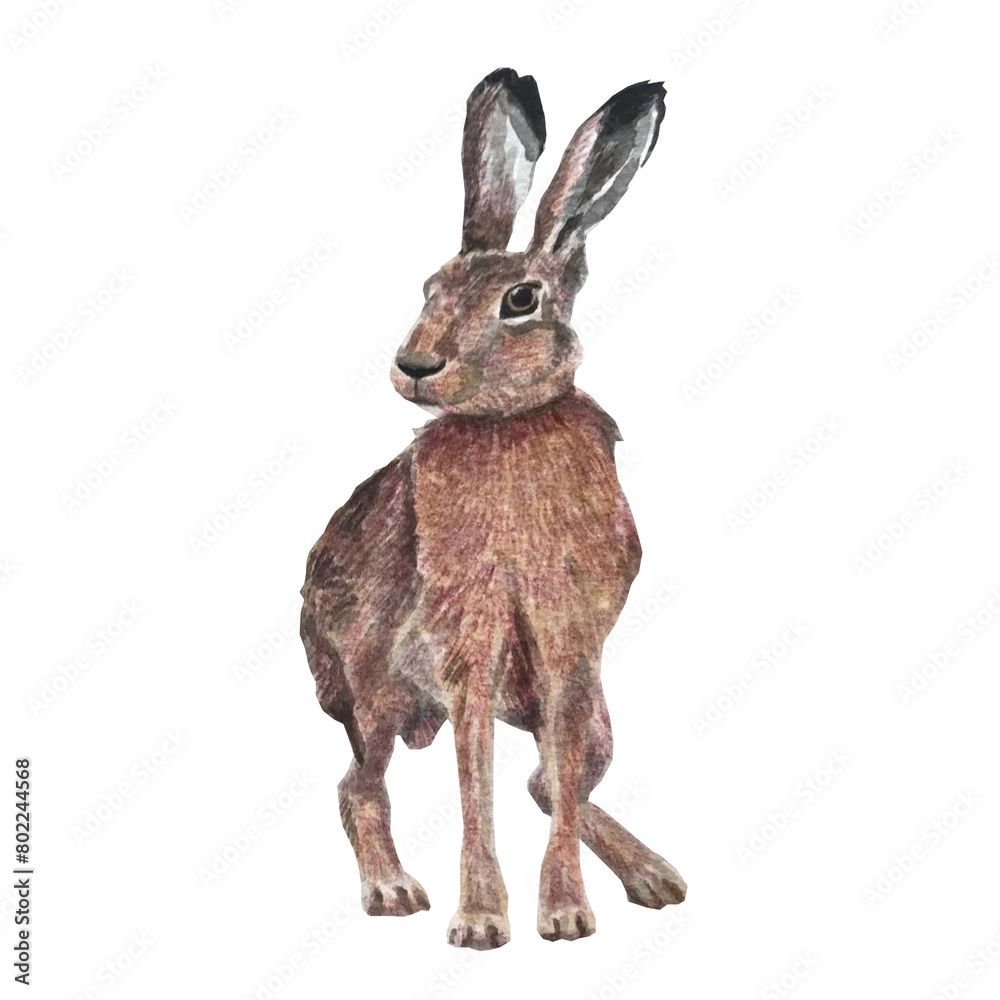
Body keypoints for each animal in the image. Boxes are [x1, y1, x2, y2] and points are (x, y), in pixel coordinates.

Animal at [300, 67, 686, 950]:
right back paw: (393, 891)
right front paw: (480, 922)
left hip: (591, 714)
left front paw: (566, 916)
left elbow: (555, 782)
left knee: (551, 781)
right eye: (429, 287)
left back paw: (657, 877)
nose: (415, 365)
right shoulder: (467, 642)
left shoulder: (569, 645)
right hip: (374, 692)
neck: (509, 423)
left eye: (520, 300)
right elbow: (474, 779)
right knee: (358, 784)